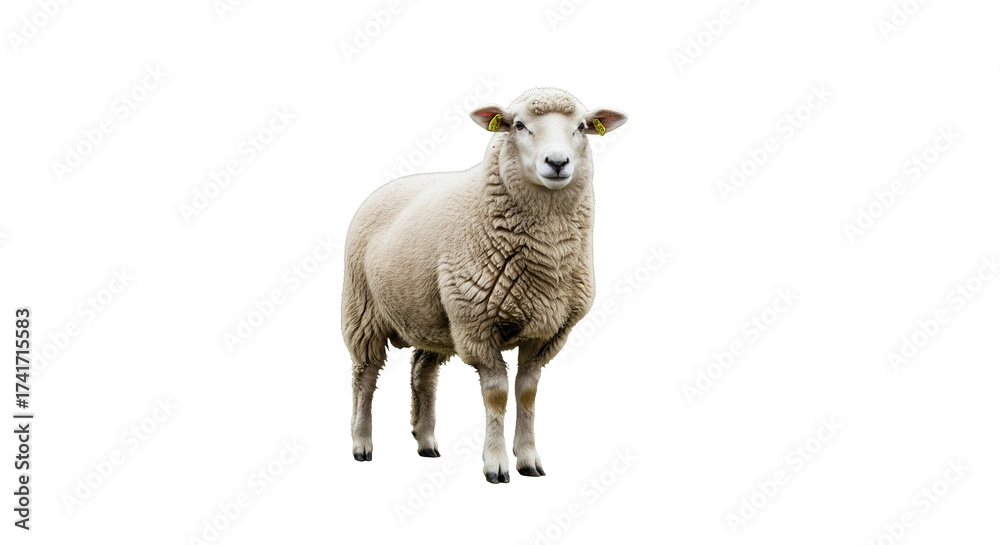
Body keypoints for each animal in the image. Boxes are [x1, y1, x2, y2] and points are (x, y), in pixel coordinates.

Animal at [342, 88, 627, 483]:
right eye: (518, 125)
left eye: (582, 127)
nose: (557, 162)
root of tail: (388, 186)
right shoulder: (478, 327)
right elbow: (497, 395)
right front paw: (496, 465)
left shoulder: (547, 332)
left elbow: (526, 393)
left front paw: (529, 459)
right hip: (362, 311)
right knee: (364, 377)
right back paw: (361, 444)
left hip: (436, 321)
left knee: (422, 373)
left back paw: (425, 440)